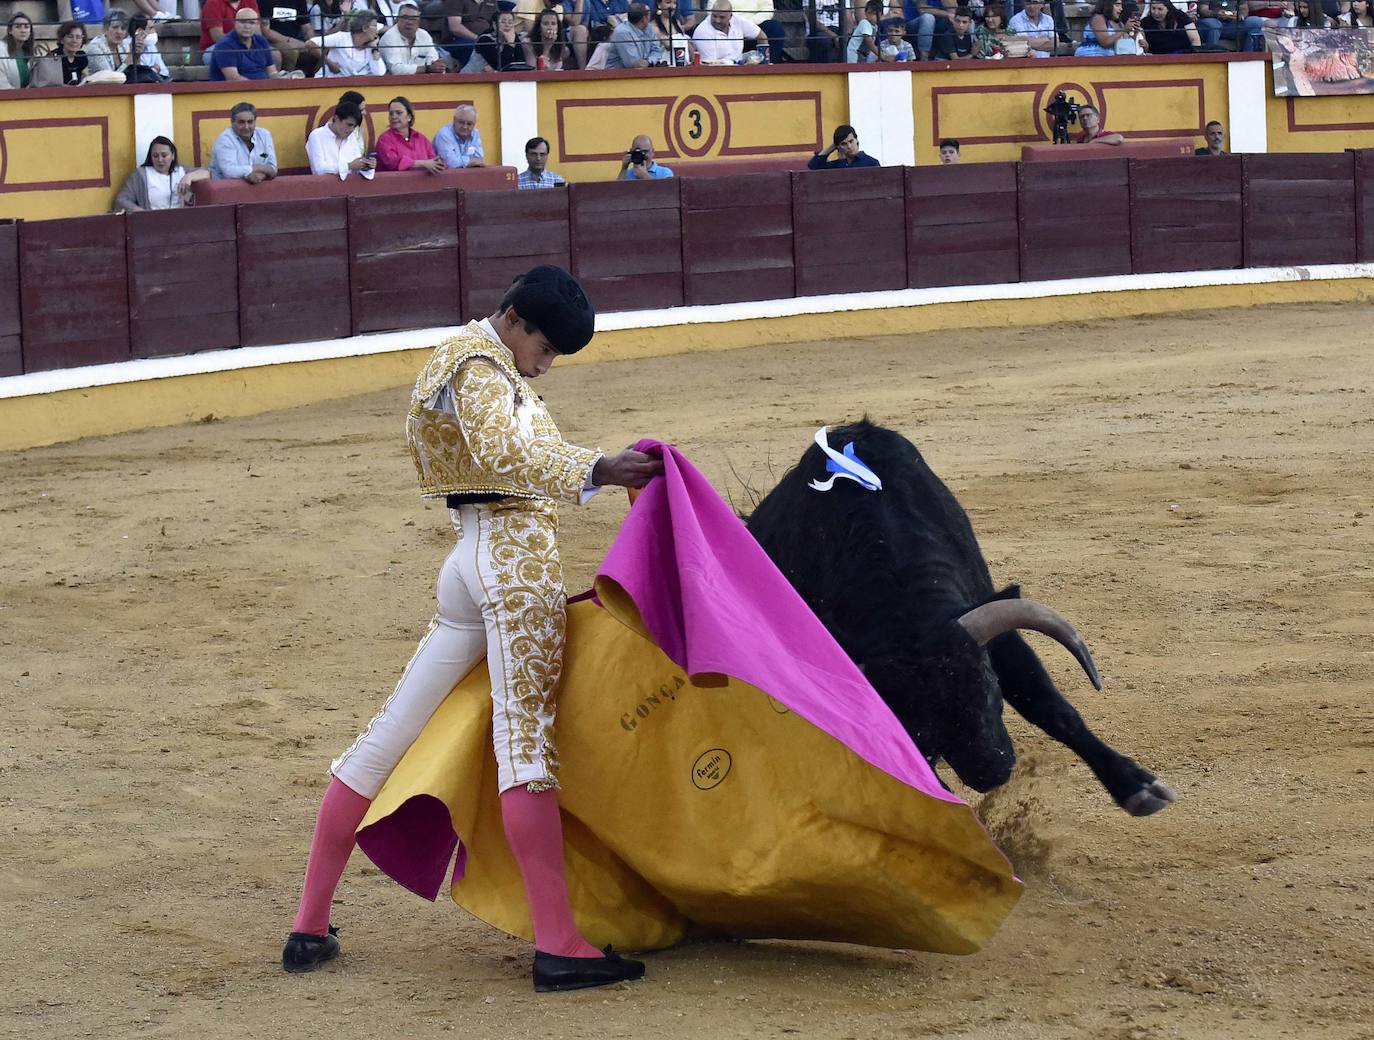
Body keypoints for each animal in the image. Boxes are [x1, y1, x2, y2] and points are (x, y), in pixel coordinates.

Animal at [747, 417, 1176, 813]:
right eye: (919, 731)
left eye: (990, 689)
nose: (994, 773)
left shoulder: (992, 624)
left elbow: (1052, 707)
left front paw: (1139, 787)